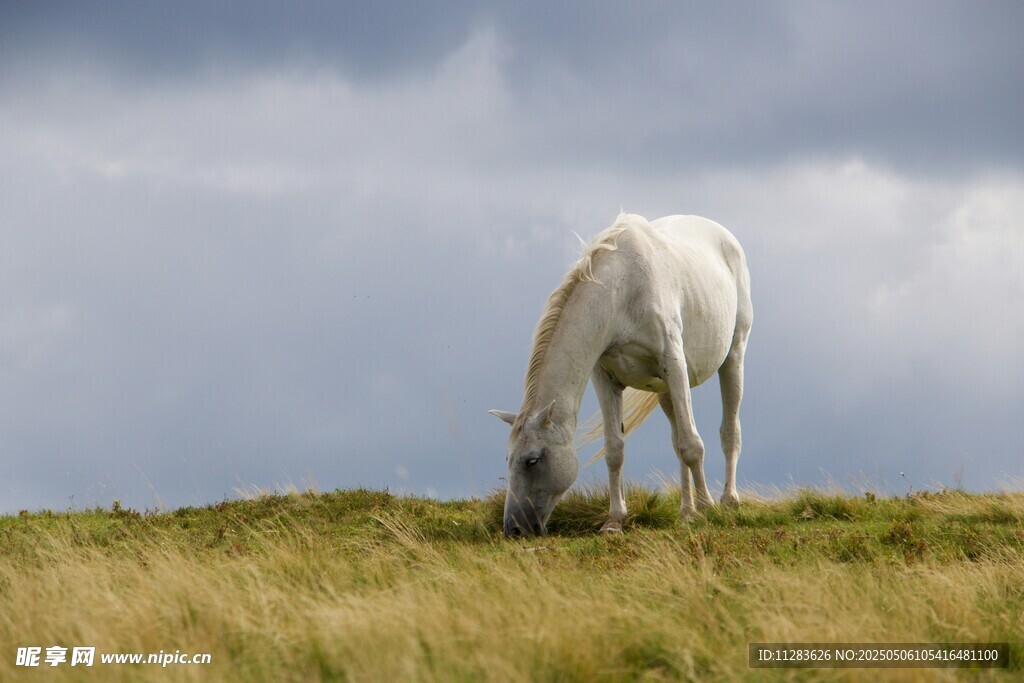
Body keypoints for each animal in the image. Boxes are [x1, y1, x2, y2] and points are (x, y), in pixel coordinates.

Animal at [490, 213, 752, 537]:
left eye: (532, 460)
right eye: (507, 459)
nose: (513, 528)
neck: (622, 292)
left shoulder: (675, 364)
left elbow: (693, 444)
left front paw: (707, 508)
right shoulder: (604, 378)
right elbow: (615, 449)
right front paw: (615, 519)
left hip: (733, 357)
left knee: (728, 430)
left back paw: (727, 501)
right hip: (665, 391)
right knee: (676, 438)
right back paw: (686, 511)